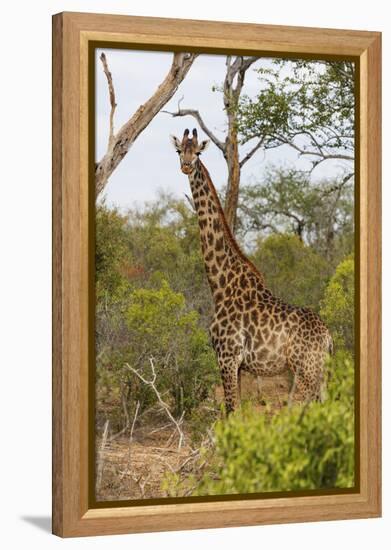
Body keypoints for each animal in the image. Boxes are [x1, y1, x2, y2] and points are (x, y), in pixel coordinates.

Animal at [170, 129, 332, 414]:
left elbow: (231, 412)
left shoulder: (227, 357)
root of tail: (328, 338)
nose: (187, 166)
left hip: (305, 372)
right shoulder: (238, 365)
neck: (221, 285)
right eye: (179, 150)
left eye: (198, 152)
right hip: (319, 376)